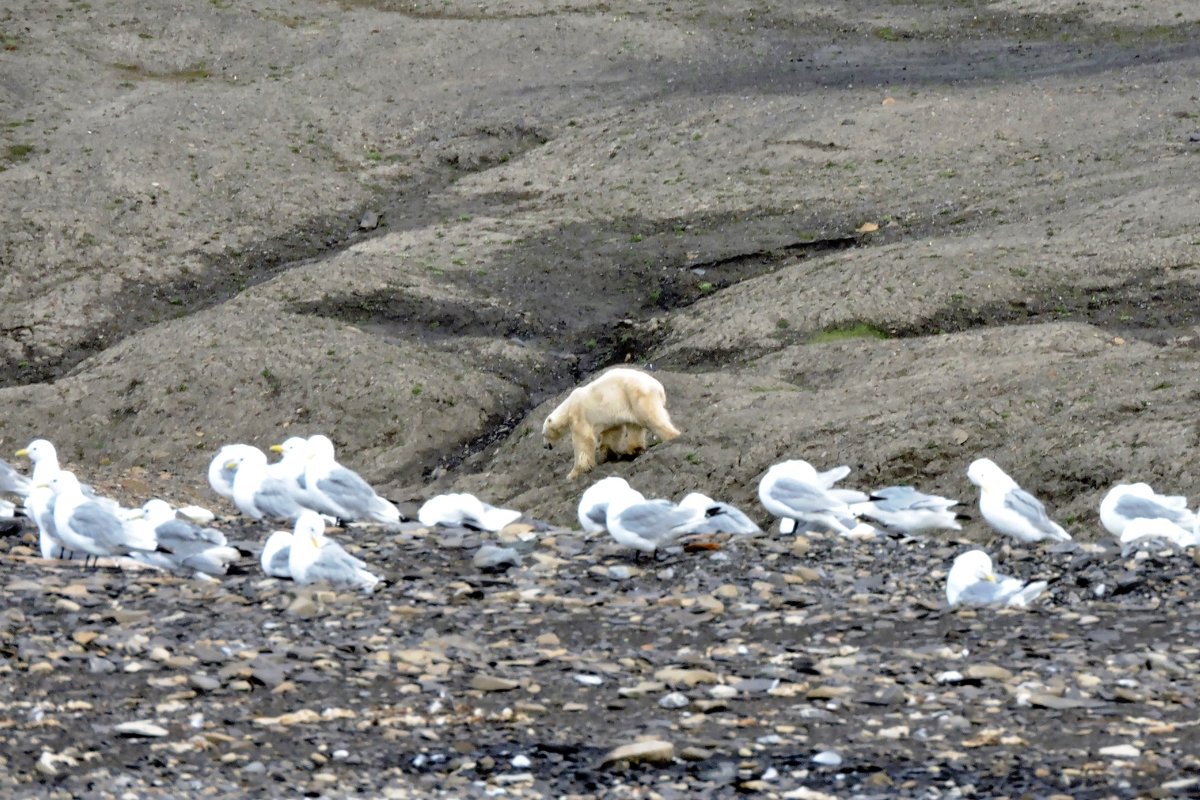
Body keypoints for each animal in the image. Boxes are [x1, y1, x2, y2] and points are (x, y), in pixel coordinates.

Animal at [542, 367, 681, 479]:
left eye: (544, 434)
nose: (545, 446)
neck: (568, 407)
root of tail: (659, 387)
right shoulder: (610, 415)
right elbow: (613, 432)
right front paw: (608, 454)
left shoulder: (579, 416)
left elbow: (584, 441)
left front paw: (573, 473)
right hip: (630, 402)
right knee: (635, 426)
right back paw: (634, 449)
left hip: (637, 395)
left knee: (651, 418)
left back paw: (672, 436)